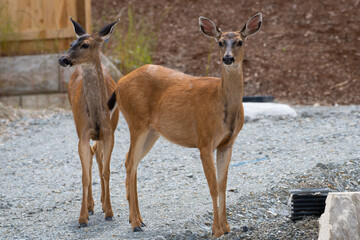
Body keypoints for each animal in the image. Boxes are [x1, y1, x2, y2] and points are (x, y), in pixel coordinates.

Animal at [58, 17, 119, 228]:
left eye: (85, 44)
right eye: (71, 43)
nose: (63, 59)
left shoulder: (109, 133)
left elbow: (107, 171)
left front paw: (109, 212)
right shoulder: (82, 133)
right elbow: (84, 176)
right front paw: (82, 217)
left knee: (98, 157)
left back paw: (102, 203)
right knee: (93, 156)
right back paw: (92, 205)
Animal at [107, 12, 262, 236]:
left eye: (240, 42)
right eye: (220, 42)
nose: (228, 58)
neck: (221, 102)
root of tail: (119, 83)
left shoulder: (227, 144)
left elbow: (223, 185)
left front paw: (227, 227)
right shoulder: (205, 141)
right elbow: (213, 186)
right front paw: (216, 230)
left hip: (152, 131)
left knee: (132, 162)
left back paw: (138, 219)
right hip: (137, 122)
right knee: (129, 161)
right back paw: (135, 222)